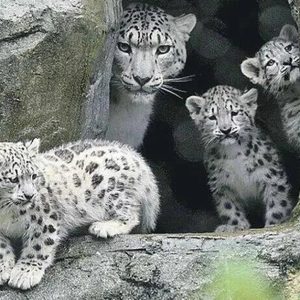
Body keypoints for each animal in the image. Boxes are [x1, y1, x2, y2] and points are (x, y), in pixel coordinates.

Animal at [0, 138, 159, 288]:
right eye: (13, 179)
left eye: (33, 175)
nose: (30, 195)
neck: (5, 211)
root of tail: (135, 156)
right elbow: (2, 247)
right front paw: (3, 269)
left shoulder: (46, 218)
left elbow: (39, 244)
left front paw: (25, 273)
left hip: (110, 192)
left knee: (130, 214)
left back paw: (103, 227)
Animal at [185, 85, 292, 233]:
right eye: (212, 117)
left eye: (234, 113)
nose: (226, 130)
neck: (233, 153)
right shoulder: (221, 184)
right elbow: (228, 207)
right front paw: (235, 226)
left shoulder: (271, 176)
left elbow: (278, 204)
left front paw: (274, 224)